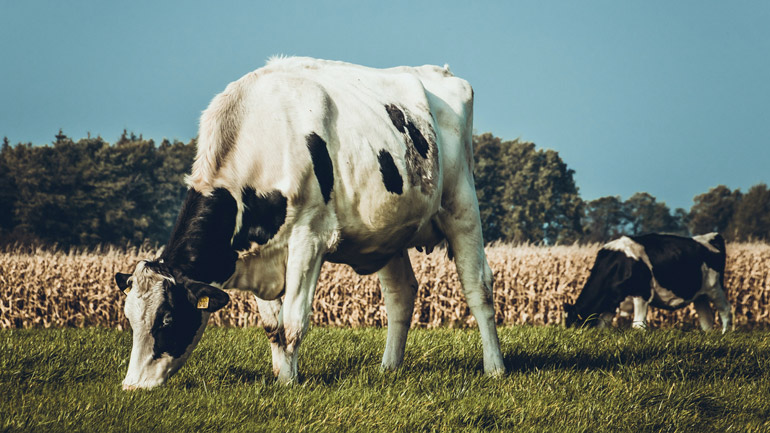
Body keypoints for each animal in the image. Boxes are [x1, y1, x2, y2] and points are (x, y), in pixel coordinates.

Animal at [113, 57, 505, 390]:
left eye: (166, 319)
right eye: (130, 319)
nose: (131, 386)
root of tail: (441, 72)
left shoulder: (309, 239)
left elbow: (293, 322)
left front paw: (291, 385)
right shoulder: (260, 255)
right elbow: (272, 326)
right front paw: (281, 377)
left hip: (462, 205)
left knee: (478, 287)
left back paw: (495, 368)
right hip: (390, 232)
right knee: (401, 295)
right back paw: (389, 368)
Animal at [563, 232, 732, 333]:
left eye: (574, 325)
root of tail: (710, 236)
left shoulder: (642, 293)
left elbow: (638, 325)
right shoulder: (611, 301)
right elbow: (603, 324)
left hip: (715, 288)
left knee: (725, 310)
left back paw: (725, 333)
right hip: (700, 295)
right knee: (706, 319)